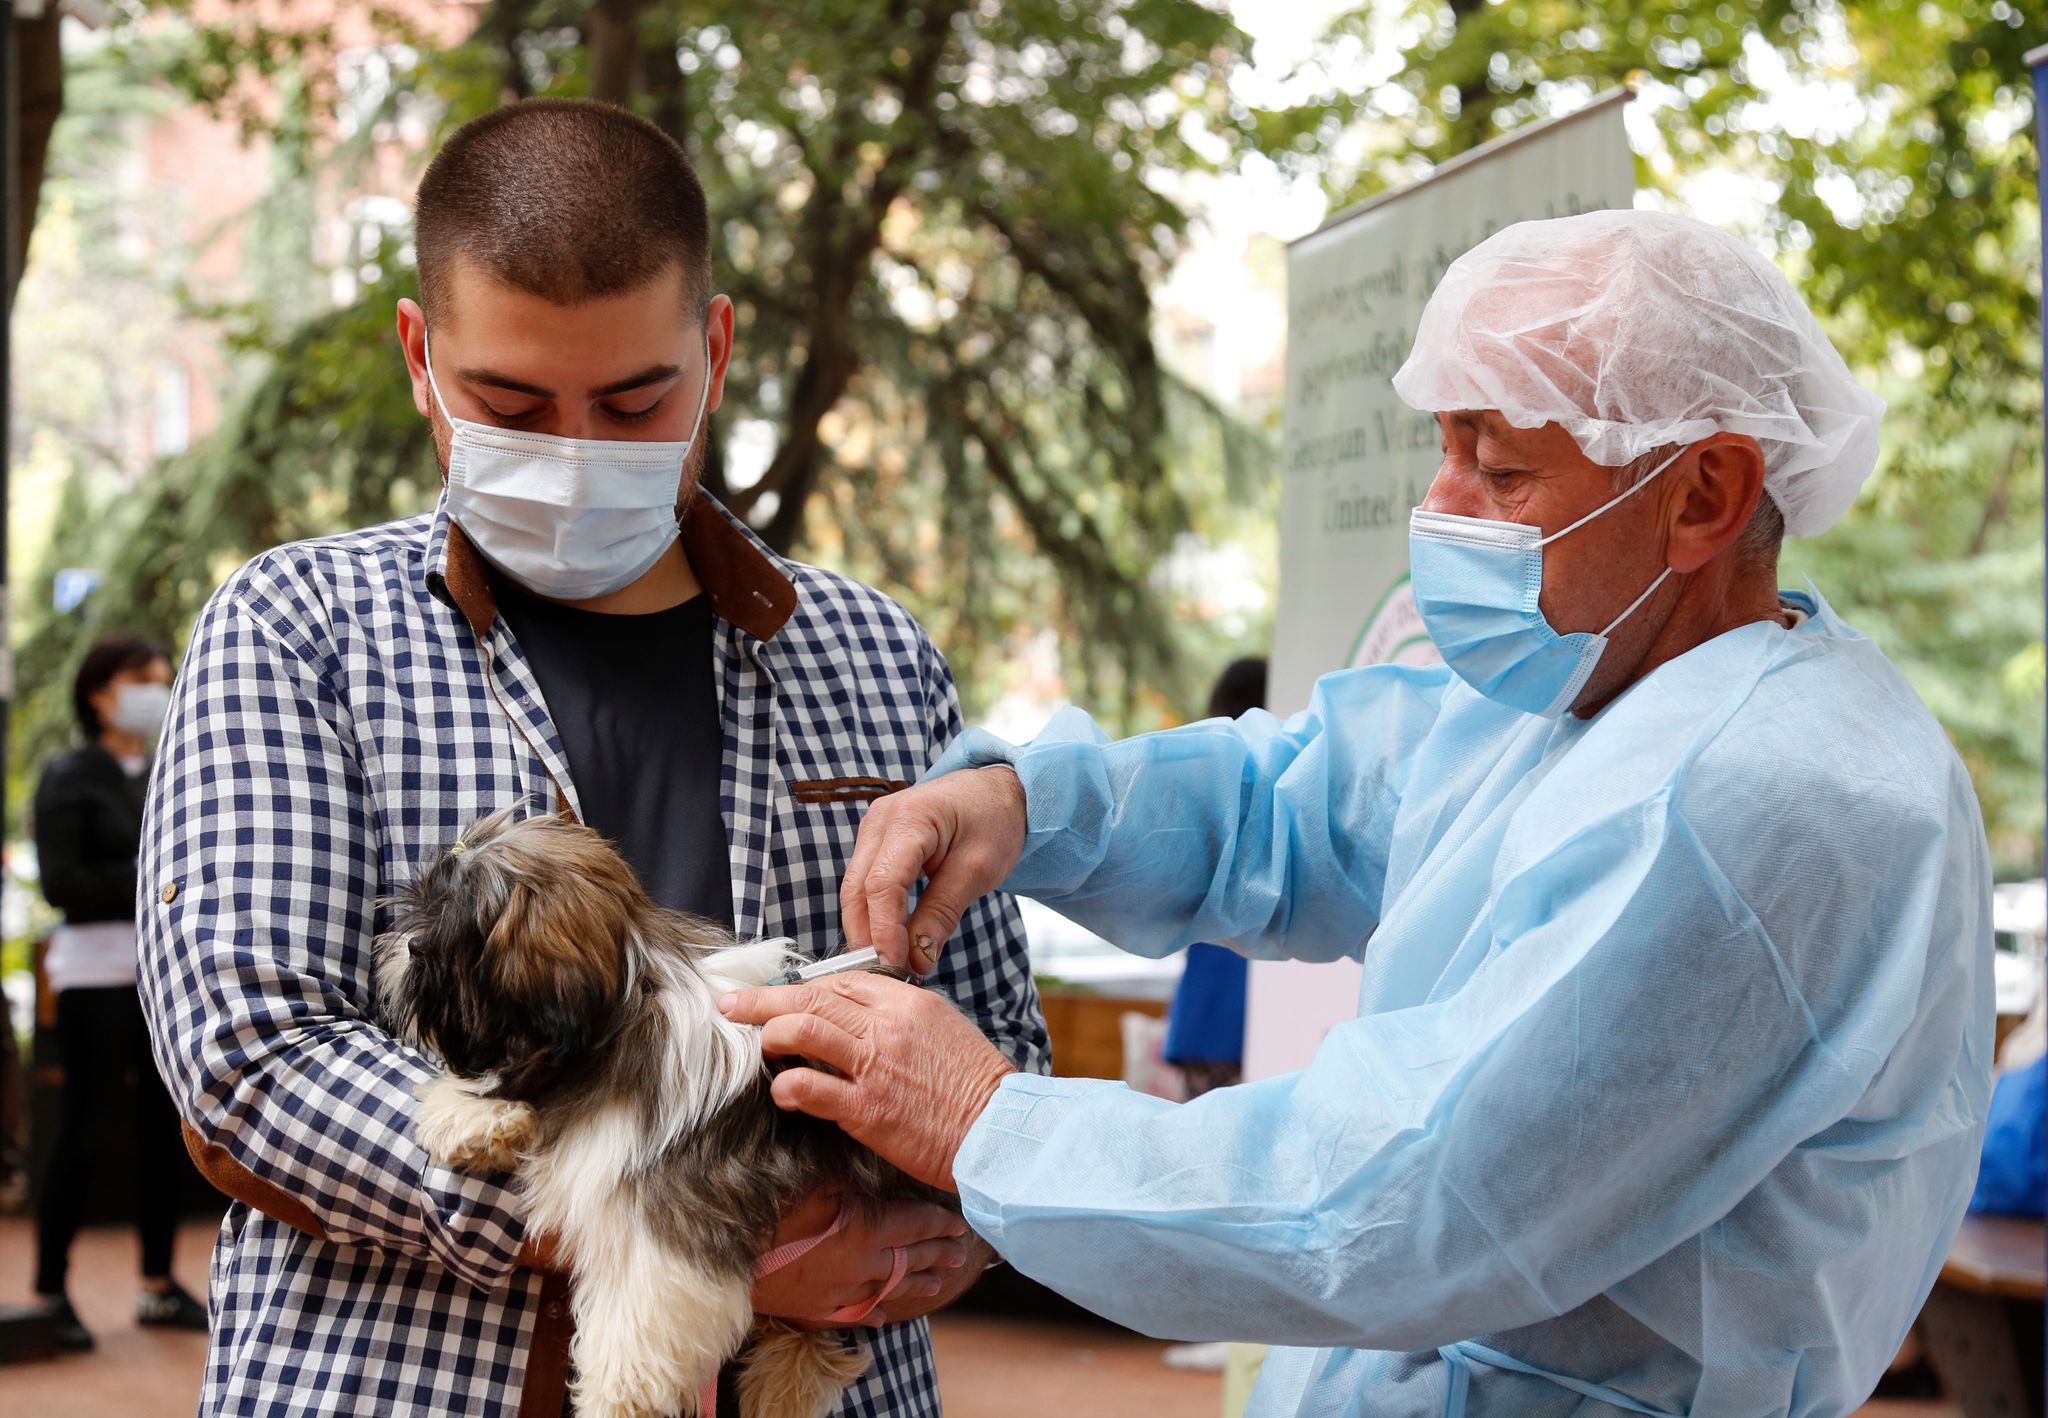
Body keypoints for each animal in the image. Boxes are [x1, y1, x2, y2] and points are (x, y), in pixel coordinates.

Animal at [376, 807, 937, 1418]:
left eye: (450, 932)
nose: (405, 944)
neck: (627, 1008)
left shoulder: (681, 1195)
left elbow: (647, 1305)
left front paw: (615, 1396)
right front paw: (474, 1117)